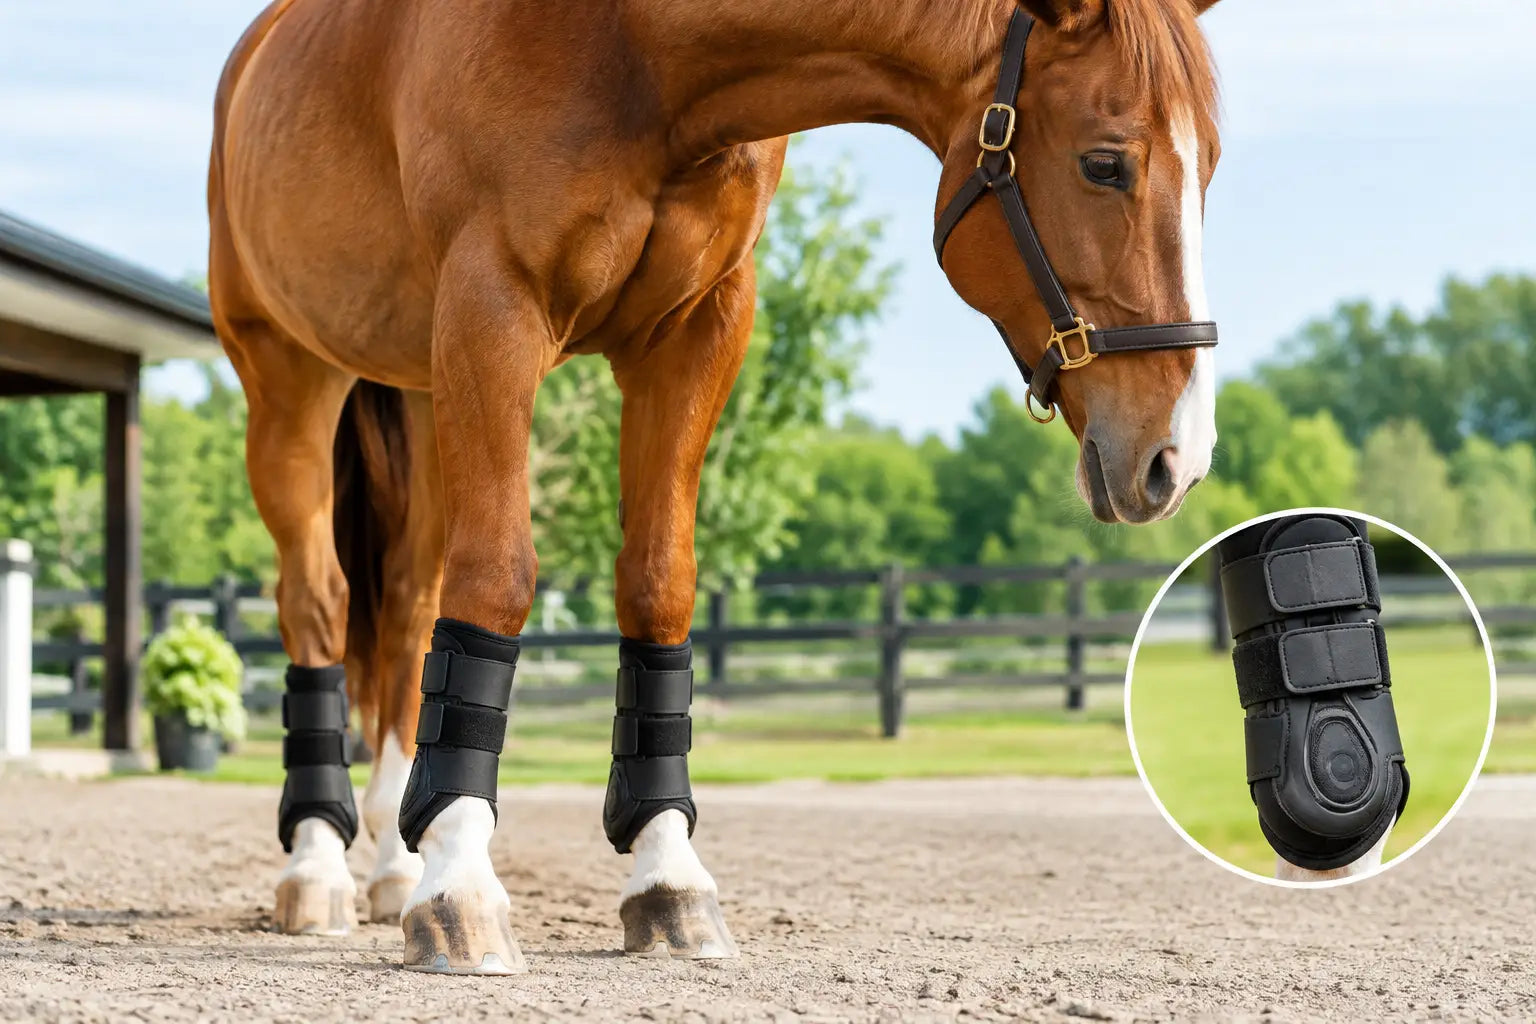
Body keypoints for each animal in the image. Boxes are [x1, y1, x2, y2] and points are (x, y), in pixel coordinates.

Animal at [209, 0, 1226, 973]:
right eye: (1104, 164)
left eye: (1210, 165)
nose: (1177, 455)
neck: (632, 47)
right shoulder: (492, 308)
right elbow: (497, 578)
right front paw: (459, 884)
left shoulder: (697, 327)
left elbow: (659, 584)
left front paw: (666, 880)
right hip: (289, 378)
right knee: (317, 602)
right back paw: (318, 865)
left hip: (422, 393)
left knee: (407, 611)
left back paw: (391, 862)